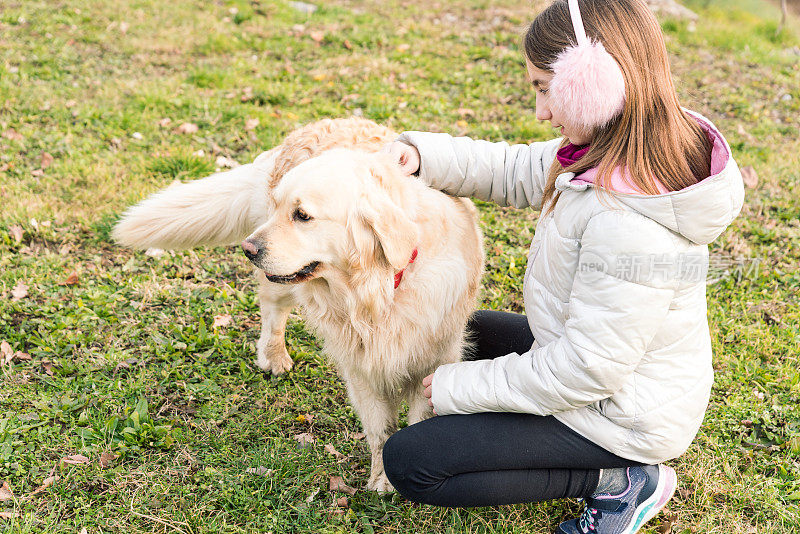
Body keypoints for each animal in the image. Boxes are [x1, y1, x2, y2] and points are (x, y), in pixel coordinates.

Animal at [114, 119, 482, 492]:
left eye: (302, 215)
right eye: (280, 207)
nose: (247, 249)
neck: (379, 291)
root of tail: (315, 124)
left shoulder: (432, 361)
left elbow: (416, 418)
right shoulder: (360, 367)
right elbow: (381, 429)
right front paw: (382, 477)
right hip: (282, 284)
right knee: (272, 309)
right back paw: (274, 355)